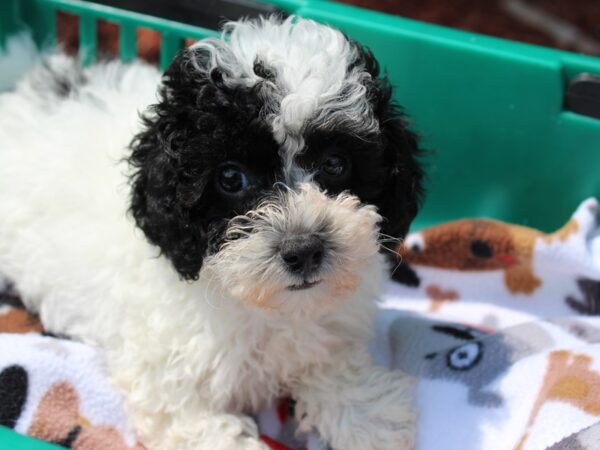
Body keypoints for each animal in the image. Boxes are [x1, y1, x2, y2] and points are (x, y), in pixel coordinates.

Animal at [0, 15, 422, 450]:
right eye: (231, 177)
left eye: (335, 163)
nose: (304, 249)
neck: (264, 304)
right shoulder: (166, 374)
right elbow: (191, 420)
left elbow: (332, 362)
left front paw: (370, 418)